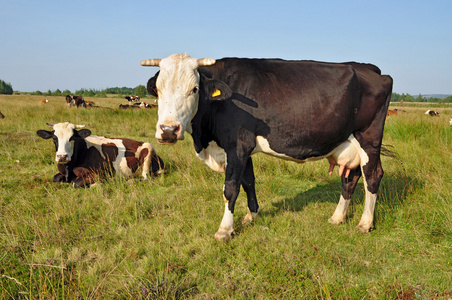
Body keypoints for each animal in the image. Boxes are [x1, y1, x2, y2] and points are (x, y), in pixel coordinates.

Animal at [36, 122, 165, 188]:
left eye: (72, 137)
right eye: (54, 138)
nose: (62, 156)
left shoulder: (97, 174)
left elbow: (76, 183)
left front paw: (98, 184)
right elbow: (56, 178)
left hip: (148, 149)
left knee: (145, 178)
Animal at [141, 52, 392, 241]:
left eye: (194, 89)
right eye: (159, 90)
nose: (168, 130)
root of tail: (368, 68)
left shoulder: (237, 145)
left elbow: (230, 188)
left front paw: (225, 230)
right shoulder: (244, 149)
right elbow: (248, 182)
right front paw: (252, 216)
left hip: (368, 137)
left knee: (372, 175)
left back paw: (365, 223)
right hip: (347, 143)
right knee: (350, 178)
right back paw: (338, 217)